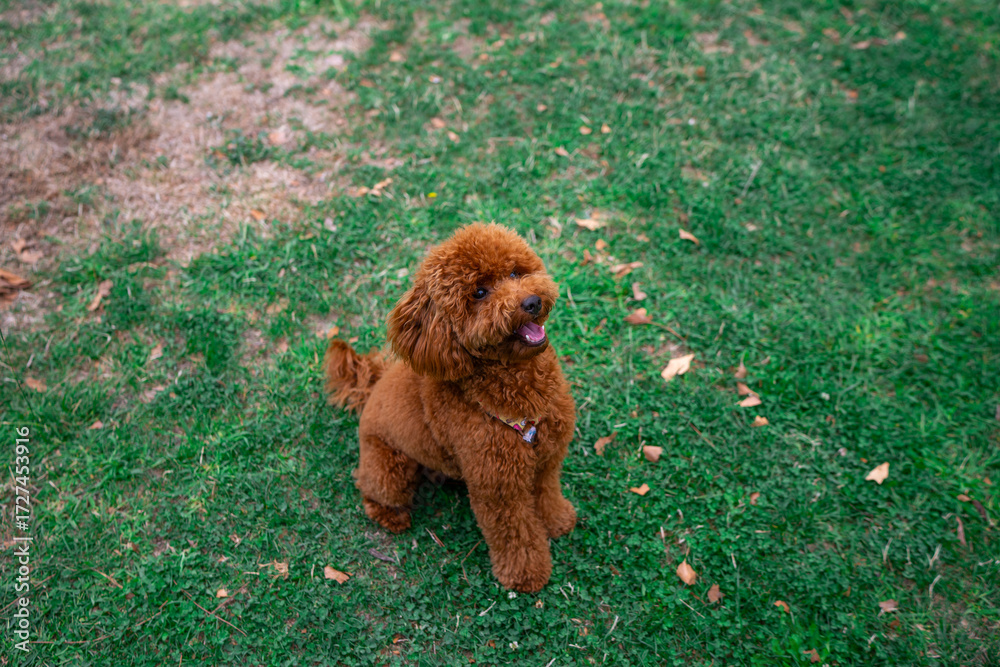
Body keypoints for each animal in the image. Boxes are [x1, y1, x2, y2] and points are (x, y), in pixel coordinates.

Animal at [324, 223, 577, 592]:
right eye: (479, 293)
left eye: (515, 272)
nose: (531, 302)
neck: (520, 390)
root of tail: (373, 387)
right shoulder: (498, 488)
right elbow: (514, 533)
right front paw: (526, 574)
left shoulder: (546, 458)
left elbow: (547, 493)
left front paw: (558, 522)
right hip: (388, 467)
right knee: (371, 490)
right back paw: (392, 516)